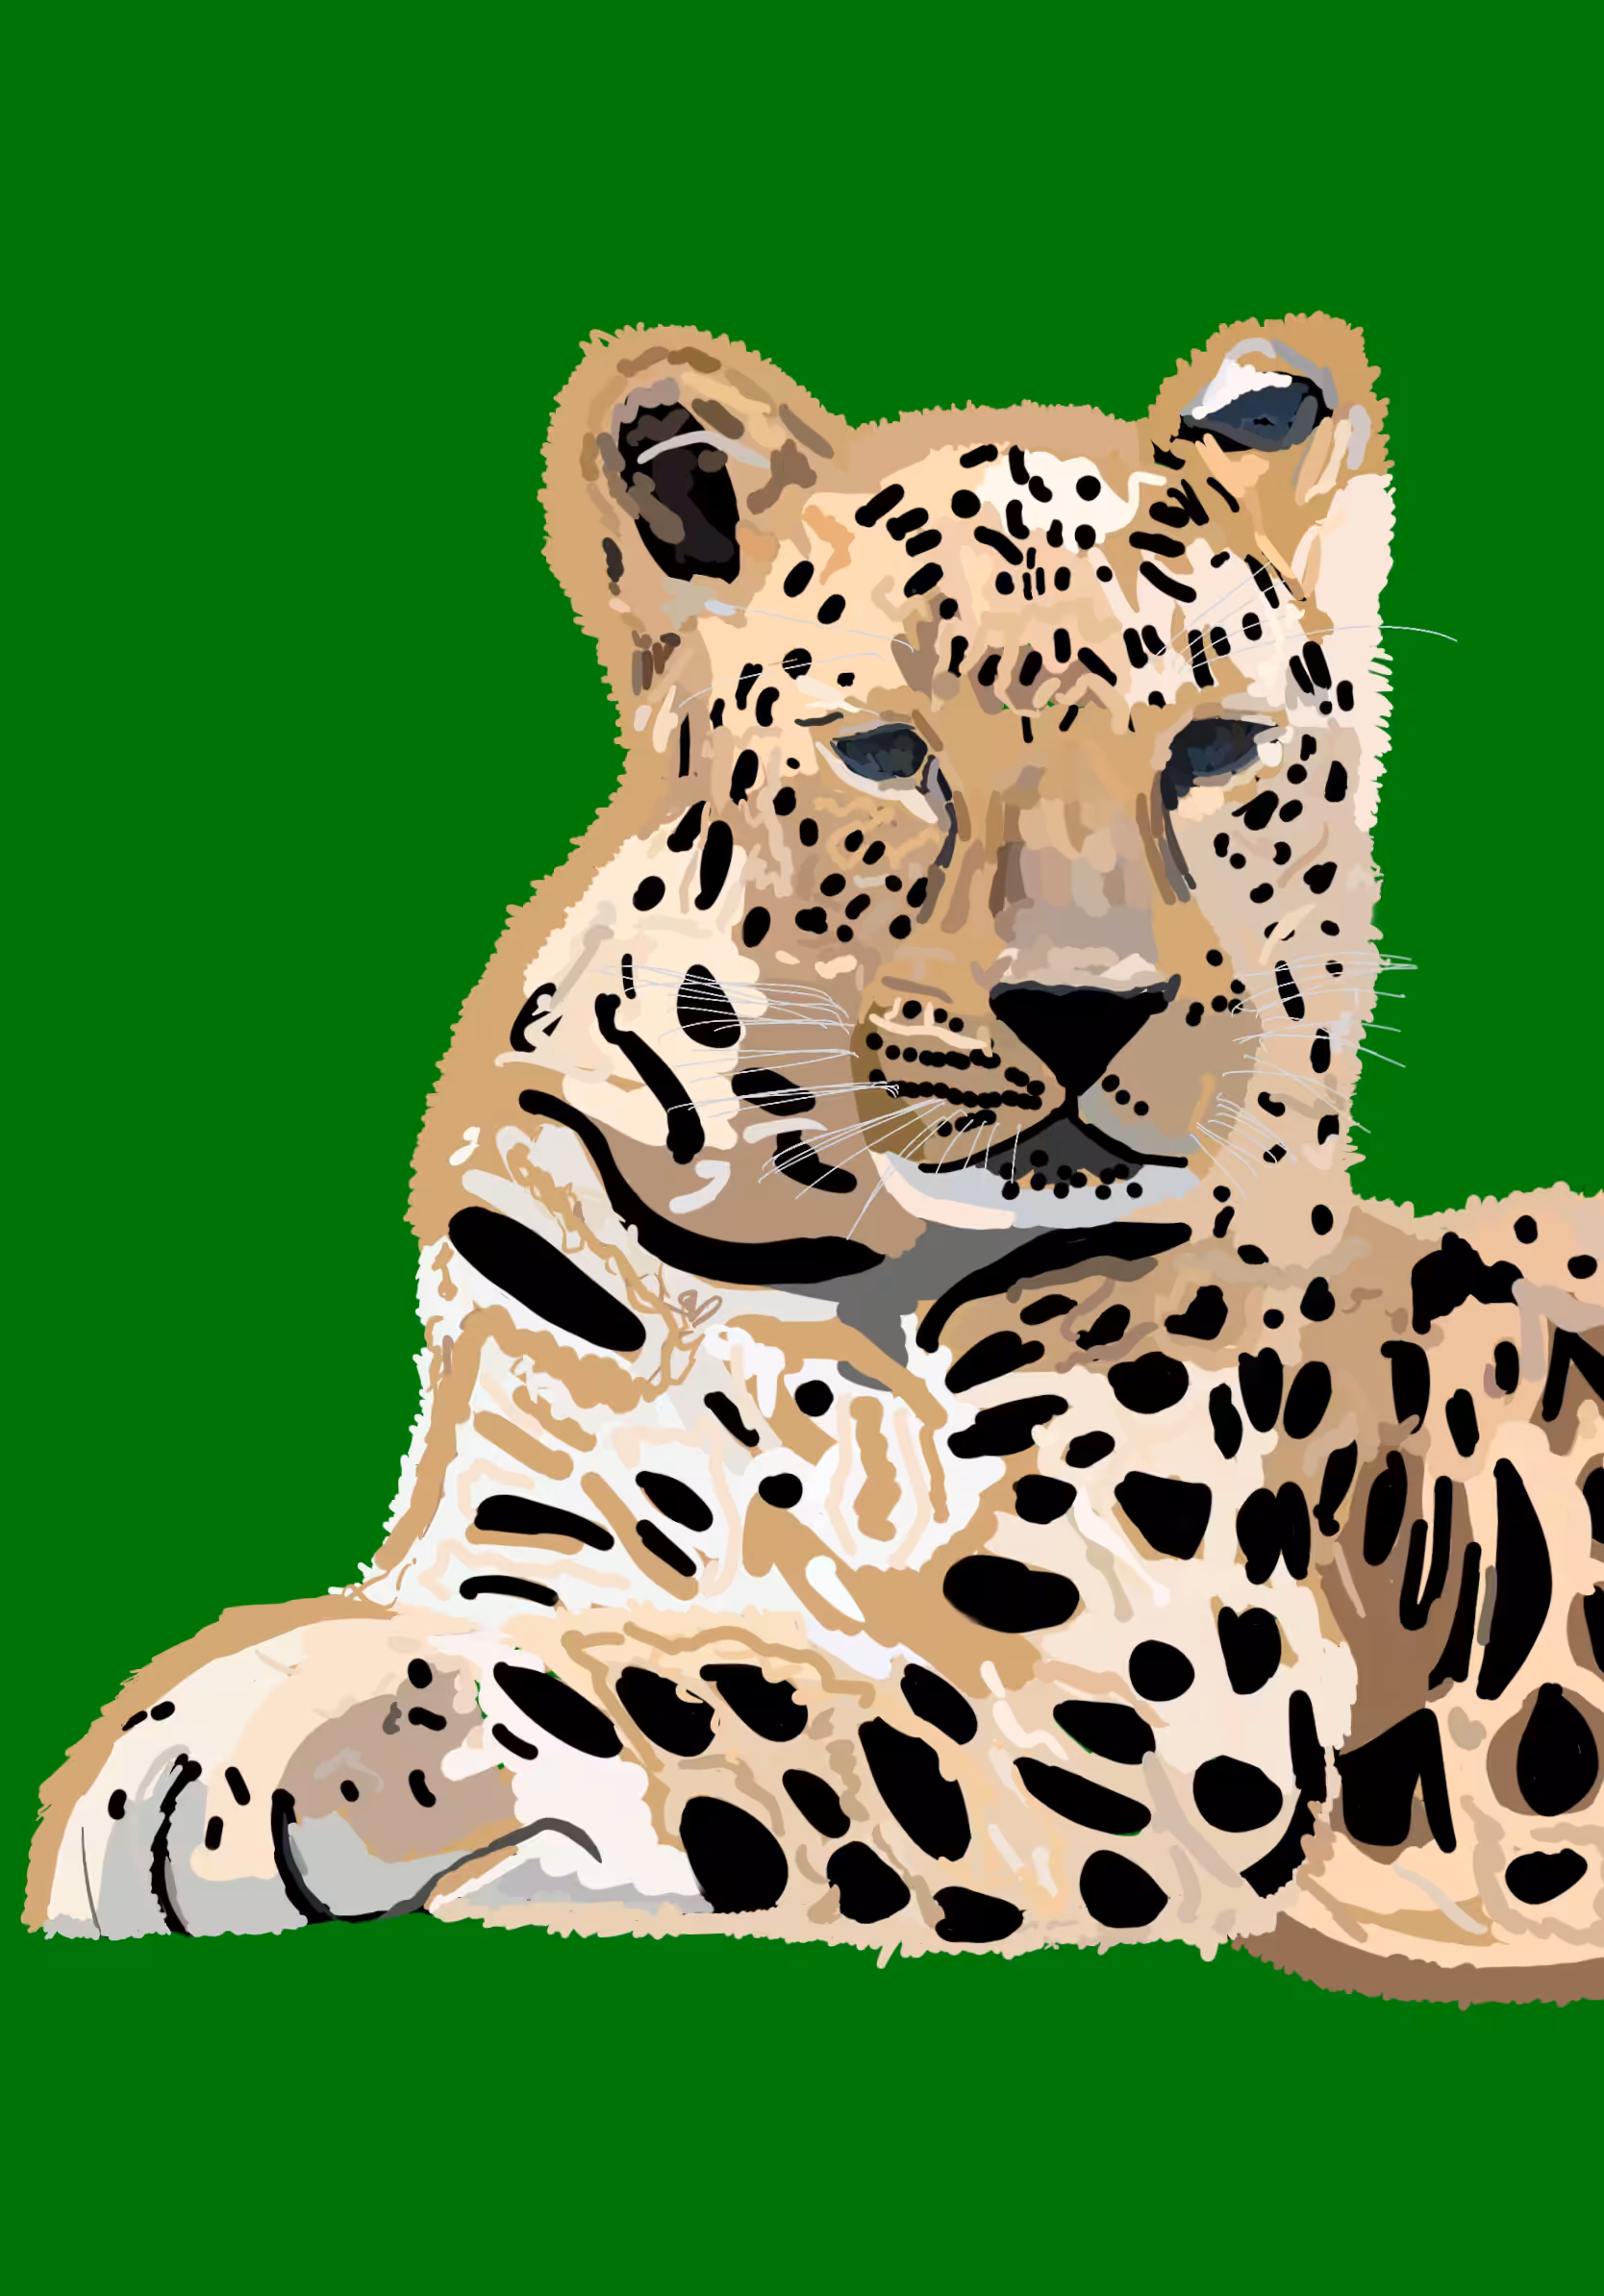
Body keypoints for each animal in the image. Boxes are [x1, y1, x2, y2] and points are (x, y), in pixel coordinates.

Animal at [28, 314, 1603, 2002]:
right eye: (888, 754)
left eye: (1217, 750)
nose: (1084, 1011)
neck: (830, 1253)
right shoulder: (516, 1536)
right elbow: (560, 1623)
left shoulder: (1136, 1723)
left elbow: (701, 1686)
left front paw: (226, 1744)